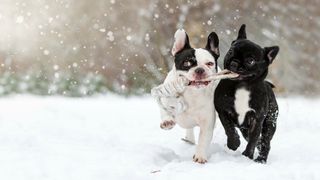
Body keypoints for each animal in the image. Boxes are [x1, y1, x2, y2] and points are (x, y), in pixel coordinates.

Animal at [152, 28, 238, 162]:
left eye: (209, 63)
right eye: (187, 63)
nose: (199, 70)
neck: (192, 92)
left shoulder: (207, 122)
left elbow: (203, 139)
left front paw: (200, 156)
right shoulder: (165, 99)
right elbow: (164, 110)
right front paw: (167, 122)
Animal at [215, 23, 280, 163]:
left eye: (250, 61)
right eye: (230, 52)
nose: (234, 62)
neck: (241, 86)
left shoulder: (257, 119)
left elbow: (253, 139)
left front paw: (247, 155)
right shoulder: (223, 110)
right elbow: (229, 128)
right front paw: (233, 143)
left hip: (270, 122)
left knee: (265, 141)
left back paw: (261, 159)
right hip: (245, 128)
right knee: (255, 139)